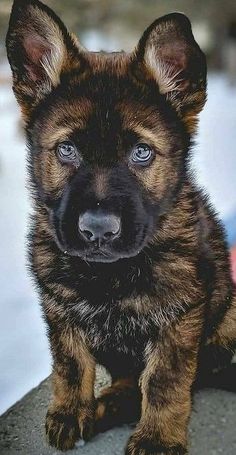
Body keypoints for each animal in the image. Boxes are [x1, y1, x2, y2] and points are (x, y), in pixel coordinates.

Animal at [6, 0, 236, 455]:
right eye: (67, 149)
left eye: (142, 153)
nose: (98, 231)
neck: (109, 273)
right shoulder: (59, 308)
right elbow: (70, 363)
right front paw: (70, 411)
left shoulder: (181, 317)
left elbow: (165, 380)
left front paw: (158, 437)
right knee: (128, 380)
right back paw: (108, 404)